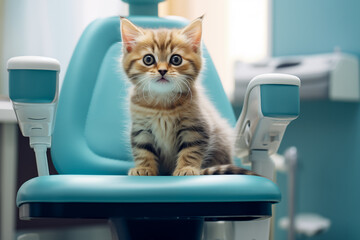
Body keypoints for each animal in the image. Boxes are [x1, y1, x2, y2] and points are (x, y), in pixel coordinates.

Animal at [121, 15, 258, 176]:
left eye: (176, 59)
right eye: (148, 59)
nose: (162, 71)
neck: (162, 104)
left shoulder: (196, 127)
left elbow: (191, 150)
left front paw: (186, 168)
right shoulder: (141, 129)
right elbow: (143, 150)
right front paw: (144, 168)